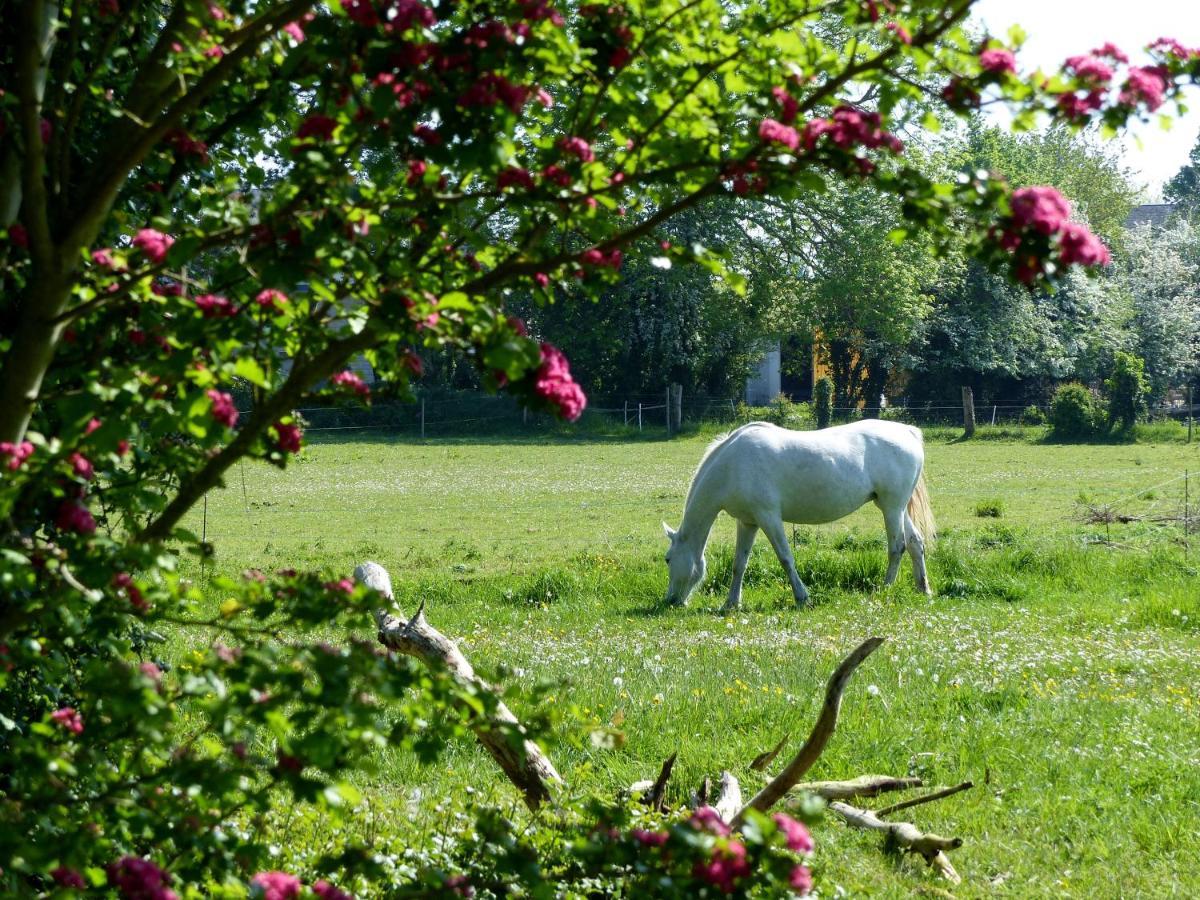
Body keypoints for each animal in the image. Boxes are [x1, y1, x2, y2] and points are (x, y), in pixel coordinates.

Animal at [662, 422, 931, 614]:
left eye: (667, 559)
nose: (671, 601)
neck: (732, 465)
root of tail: (908, 431)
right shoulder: (748, 522)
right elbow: (740, 564)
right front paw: (730, 604)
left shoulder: (769, 517)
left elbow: (785, 558)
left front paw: (802, 598)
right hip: (895, 507)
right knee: (915, 543)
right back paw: (924, 589)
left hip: (891, 507)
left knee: (897, 547)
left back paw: (885, 589)